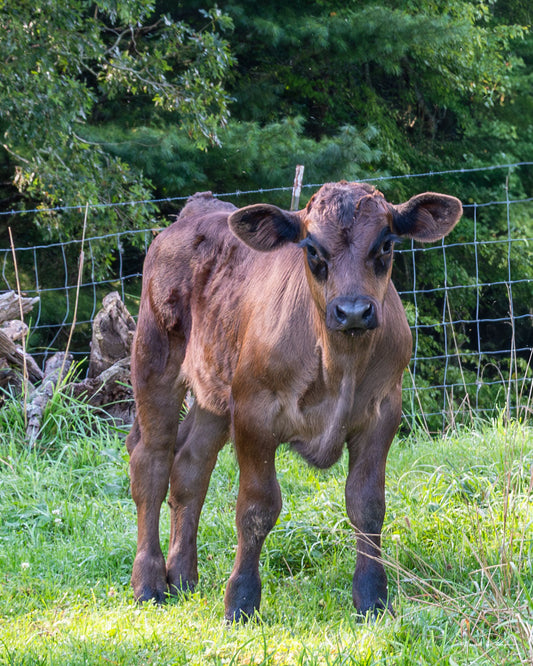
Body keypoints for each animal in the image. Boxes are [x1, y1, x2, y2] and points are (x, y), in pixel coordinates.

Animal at [125, 181, 462, 622]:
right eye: (312, 248)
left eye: (386, 244)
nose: (353, 311)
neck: (339, 363)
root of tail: (197, 211)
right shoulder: (253, 412)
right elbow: (257, 507)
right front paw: (241, 601)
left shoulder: (383, 412)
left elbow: (368, 504)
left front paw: (372, 598)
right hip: (155, 358)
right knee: (151, 463)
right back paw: (149, 583)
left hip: (214, 391)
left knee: (190, 468)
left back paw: (182, 577)